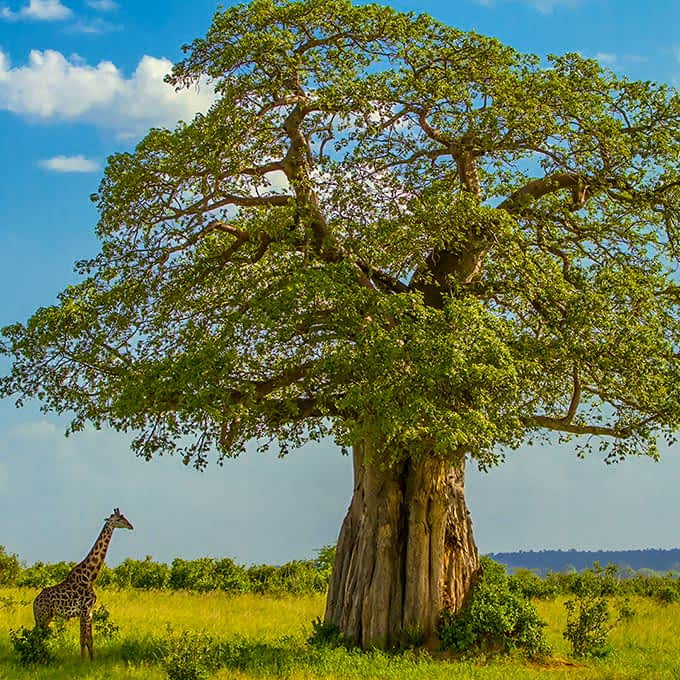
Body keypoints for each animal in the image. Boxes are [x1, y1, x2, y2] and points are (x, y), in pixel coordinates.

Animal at [32, 504, 133, 660]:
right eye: (118, 519)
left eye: (124, 516)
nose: (130, 526)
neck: (90, 576)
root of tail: (34, 603)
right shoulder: (84, 610)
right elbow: (83, 639)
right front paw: (82, 661)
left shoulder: (89, 611)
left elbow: (89, 639)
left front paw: (91, 660)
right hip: (42, 615)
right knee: (36, 635)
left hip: (48, 617)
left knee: (39, 635)